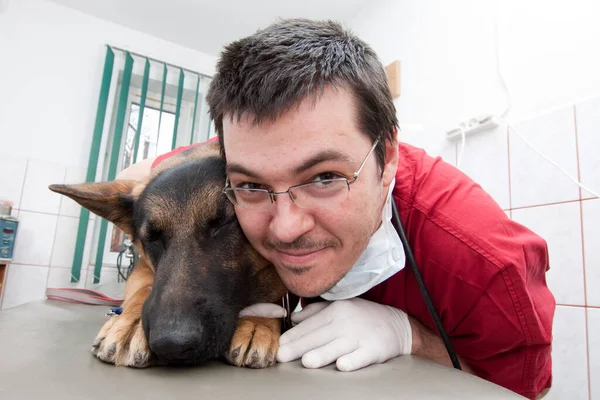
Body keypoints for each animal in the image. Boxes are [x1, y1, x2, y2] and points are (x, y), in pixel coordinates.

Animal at [48, 142, 294, 370]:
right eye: (152, 237)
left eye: (224, 223)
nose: (172, 344)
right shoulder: (141, 268)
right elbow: (145, 287)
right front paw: (132, 323)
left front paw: (258, 322)